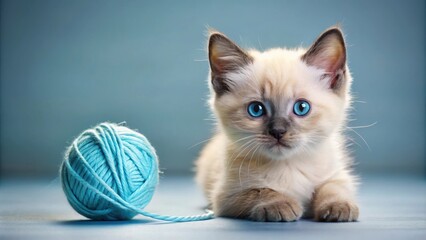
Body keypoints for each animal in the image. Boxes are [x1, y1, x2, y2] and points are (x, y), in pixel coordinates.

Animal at [196, 25, 360, 221]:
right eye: (256, 109)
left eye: (301, 108)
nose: (278, 131)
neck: (289, 165)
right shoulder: (226, 197)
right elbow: (261, 190)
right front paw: (281, 204)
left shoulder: (337, 175)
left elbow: (332, 187)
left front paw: (338, 207)